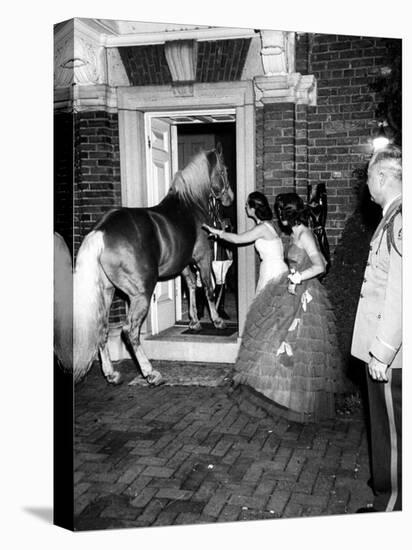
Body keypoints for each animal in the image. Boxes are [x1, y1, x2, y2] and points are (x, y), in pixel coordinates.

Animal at [73, 144, 233, 390]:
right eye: (224, 170)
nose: (229, 199)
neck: (189, 205)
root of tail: (101, 231)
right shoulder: (203, 257)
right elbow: (207, 288)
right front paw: (216, 321)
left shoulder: (183, 264)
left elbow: (191, 286)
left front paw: (194, 322)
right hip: (141, 294)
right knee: (130, 331)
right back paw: (150, 372)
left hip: (107, 292)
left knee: (102, 329)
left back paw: (111, 374)